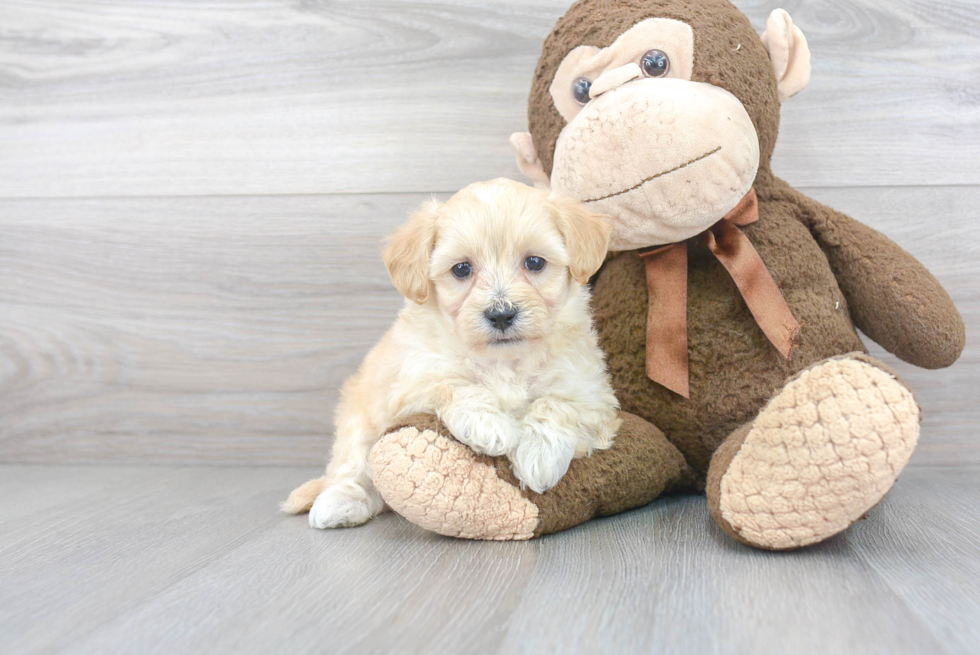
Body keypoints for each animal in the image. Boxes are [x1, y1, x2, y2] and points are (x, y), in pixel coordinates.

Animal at [284, 178, 620, 528]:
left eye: (535, 262)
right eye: (461, 269)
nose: (501, 315)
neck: (504, 361)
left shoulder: (591, 393)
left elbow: (557, 404)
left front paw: (539, 455)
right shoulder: (411, 381)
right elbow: (454, 385)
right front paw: (489, 425)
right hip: (359, 416)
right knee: (352, 466)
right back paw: (340, 502)